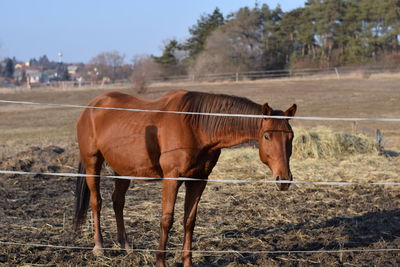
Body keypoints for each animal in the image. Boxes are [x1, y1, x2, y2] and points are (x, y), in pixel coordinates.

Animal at [72, 90, 296, 267]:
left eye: (290, 137)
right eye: (267, 136)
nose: (284, 179)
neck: (196, 125)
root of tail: (91, 107)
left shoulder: (199, 180)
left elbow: (189, 221)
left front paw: (187, 261)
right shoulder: (172, 179)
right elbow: (166, 220)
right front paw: (160, 262)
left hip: (123, 168)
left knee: (118, 202)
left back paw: (125, 245)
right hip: (93, 164)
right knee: (96, 202)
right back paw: (99, 247)